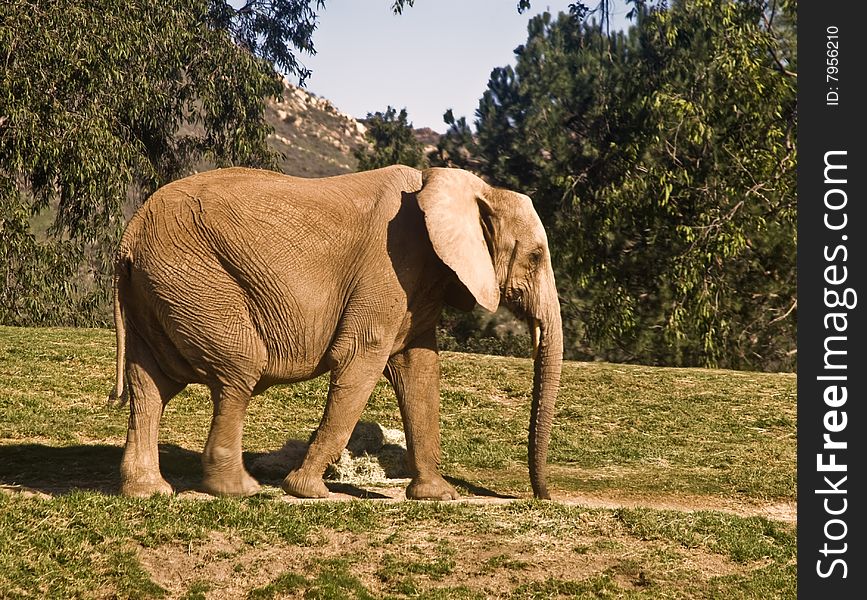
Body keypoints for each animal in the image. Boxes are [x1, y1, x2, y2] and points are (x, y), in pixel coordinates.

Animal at [110, 164, 564, 502]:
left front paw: (438, 496)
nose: (542, 498)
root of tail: (129, 236)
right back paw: (240, 490)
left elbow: (419, 372)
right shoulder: (389, 266)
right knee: (237, 372)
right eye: (535, 256)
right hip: (194, 279)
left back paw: (148, 492)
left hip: (160, 288)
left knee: (151, 385)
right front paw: (309, 492)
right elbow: (361, 359)